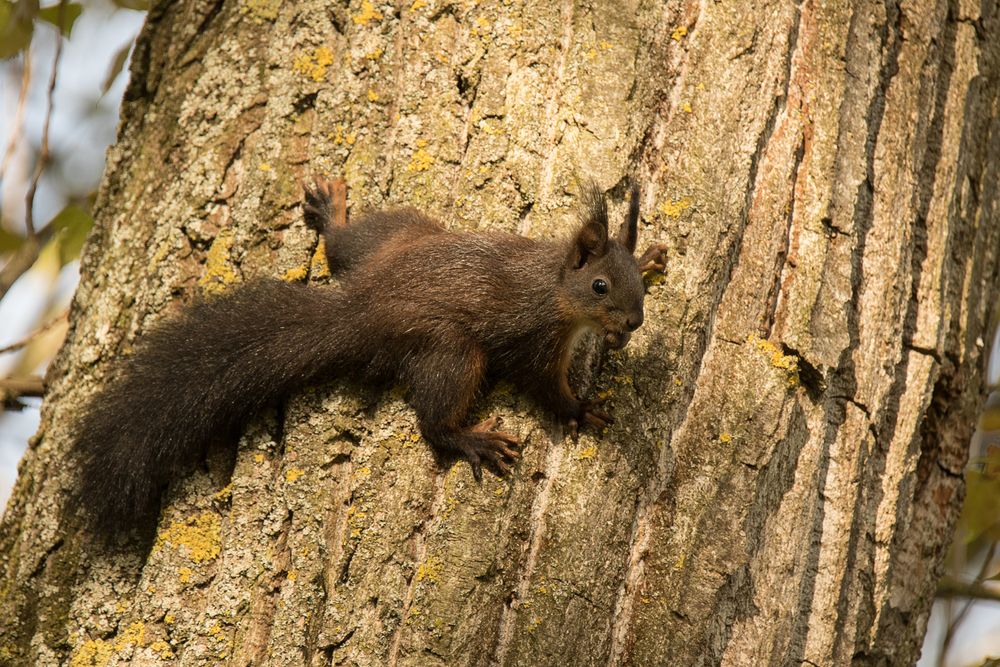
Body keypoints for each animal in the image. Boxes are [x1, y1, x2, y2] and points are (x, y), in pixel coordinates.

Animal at [74, 177, 668, 536]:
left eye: (635, 286)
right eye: (598, 286)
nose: (633, 323)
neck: (555, 286)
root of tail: (363, 307)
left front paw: (651, 257)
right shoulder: (537, 342)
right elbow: (548, 388)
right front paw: (581, 409)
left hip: (400, 233)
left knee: (344, 247)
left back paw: (331, 214)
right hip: (451, 351)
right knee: (434, 420)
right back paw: (471, 439)